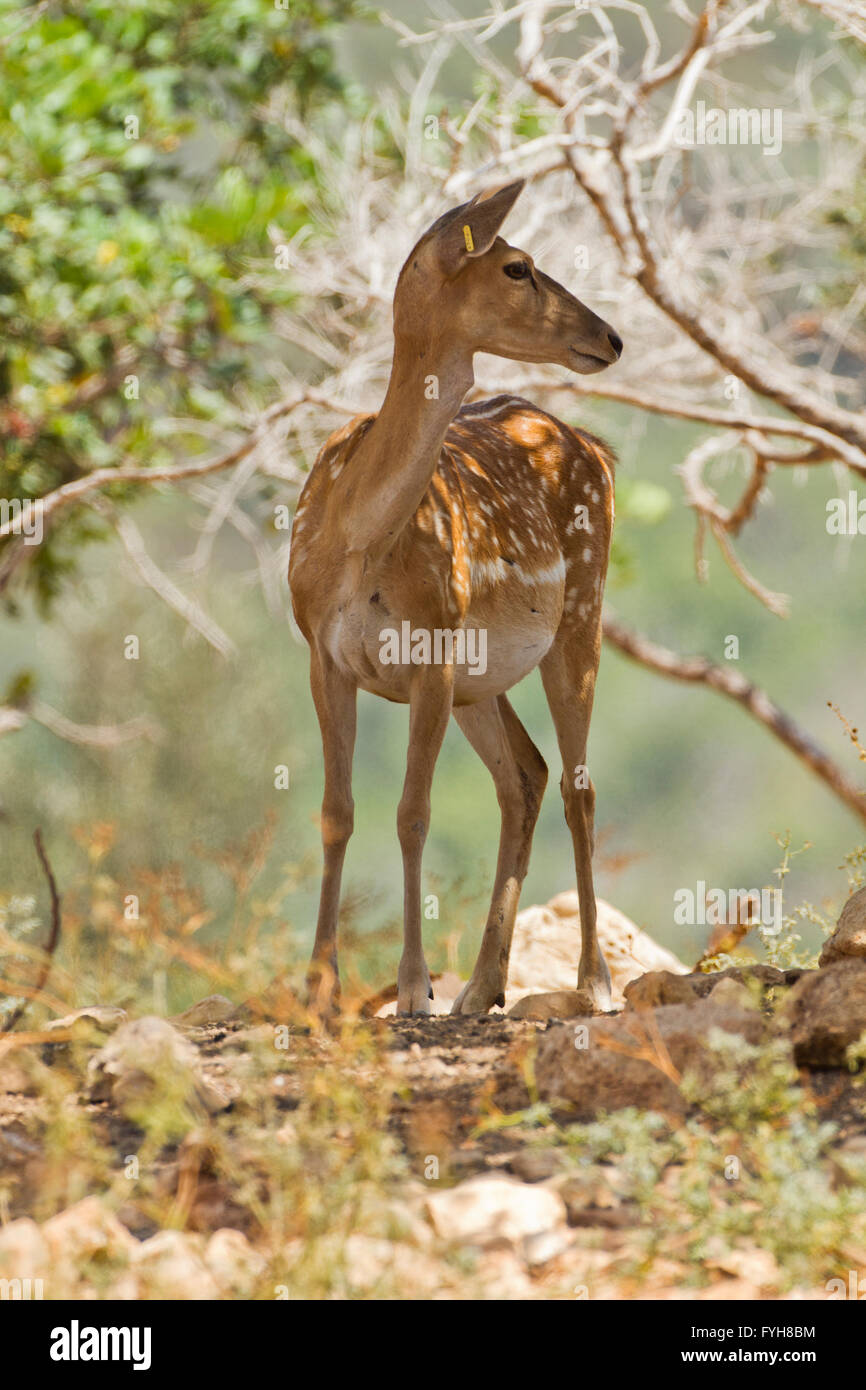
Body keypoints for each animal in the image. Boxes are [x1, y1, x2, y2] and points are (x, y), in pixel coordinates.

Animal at [291, 179, 622, 1017]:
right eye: (518, 266)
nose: (611, 338)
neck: (357, 539)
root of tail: (596, 447)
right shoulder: (321, 654)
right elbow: (336, 813)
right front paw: (318, 991)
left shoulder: (432, 649)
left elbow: (414, 813)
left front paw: (414, 989)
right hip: (484, 678)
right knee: (526, 776)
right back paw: (483, 987)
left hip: (582, 610)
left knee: (578, 785)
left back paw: (595, 982)